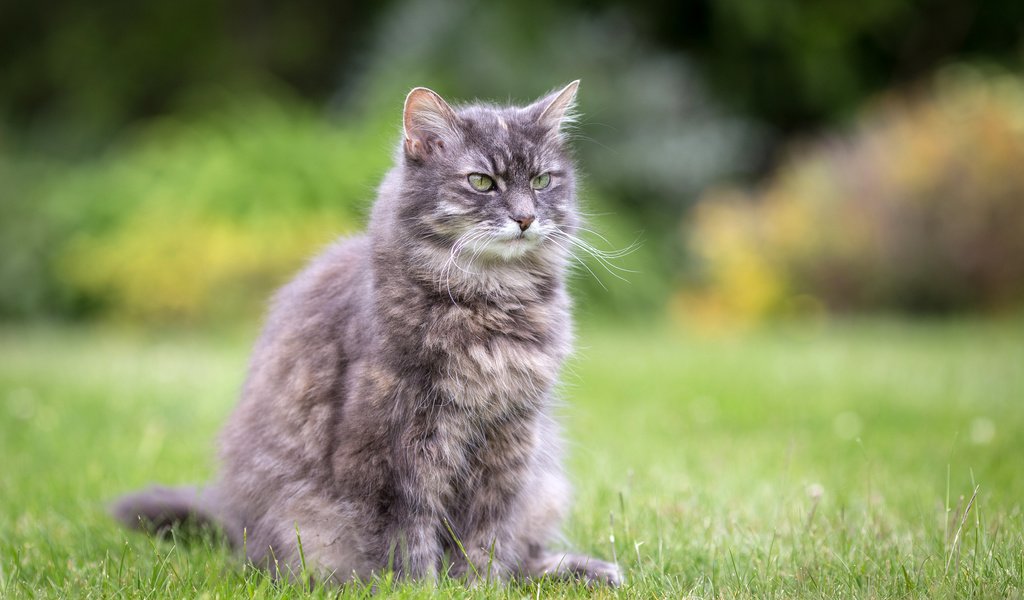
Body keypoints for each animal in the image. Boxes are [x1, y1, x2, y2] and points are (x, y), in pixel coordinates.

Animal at [114, 79, 622, 585]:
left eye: (541, 181)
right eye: (481, 182)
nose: (525, 218)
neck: (489, 302)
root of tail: (233, 524)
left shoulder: (510, 435)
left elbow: (487, 531)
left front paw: (477, 585)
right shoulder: (395, 445)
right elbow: (409, 530)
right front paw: (424, 588)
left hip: (545, 486)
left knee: (526, 556)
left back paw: (585, 570)